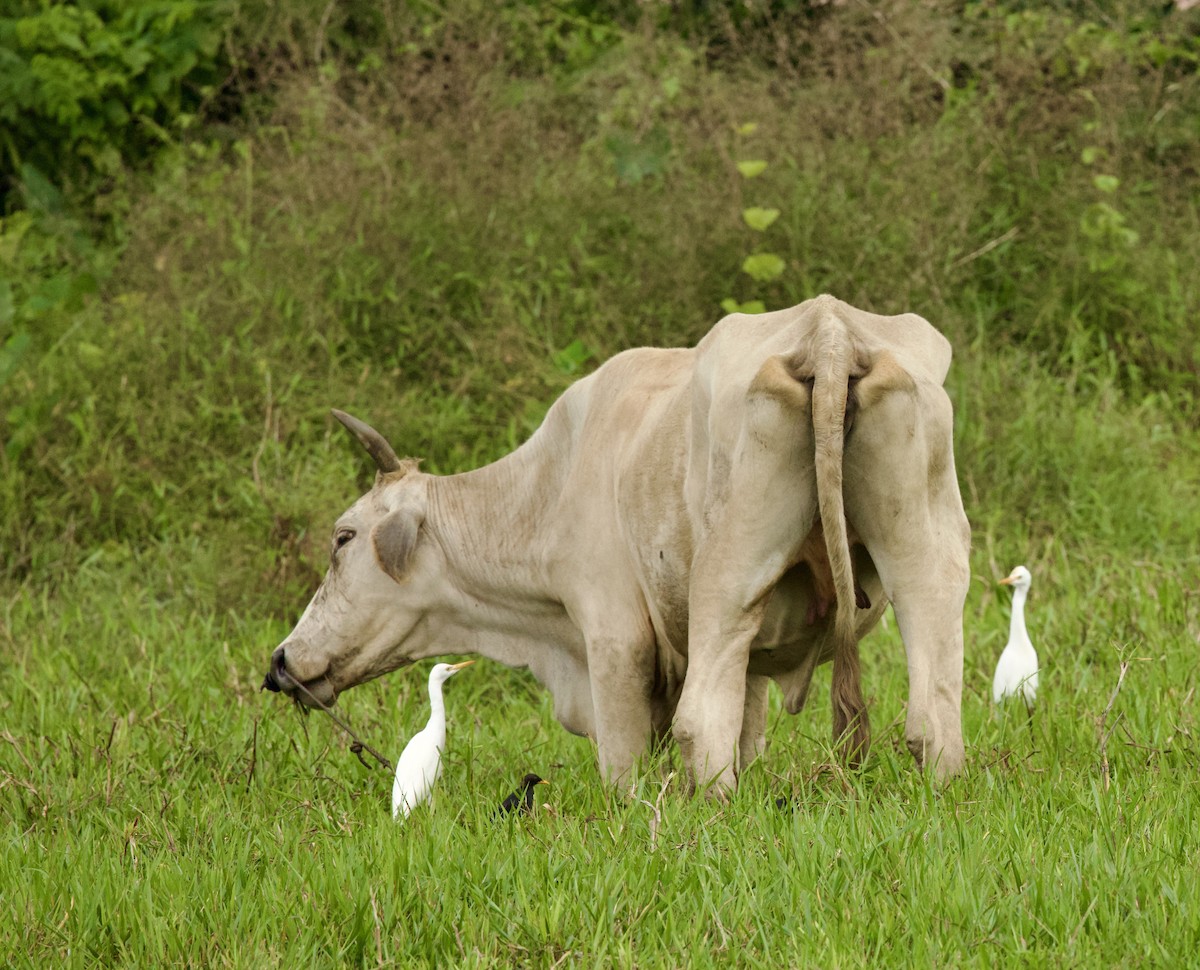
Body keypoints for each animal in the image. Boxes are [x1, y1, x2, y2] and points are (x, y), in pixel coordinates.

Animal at [262, 295, 971, 792]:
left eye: (343, 537)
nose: (281, 661)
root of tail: (827, 329)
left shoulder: (613, 640)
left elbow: (625, 766)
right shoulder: (747, 661)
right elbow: (747, 729)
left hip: (727, 574)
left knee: (699, 726)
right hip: (926, 557)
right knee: (933, 716)